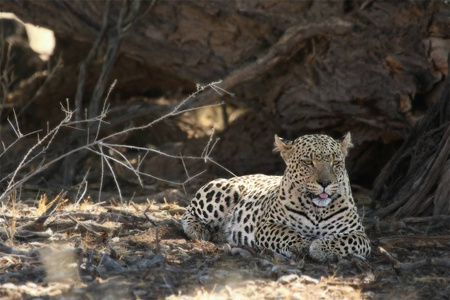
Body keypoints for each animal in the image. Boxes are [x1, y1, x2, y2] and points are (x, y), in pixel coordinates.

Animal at [181, 132, 370, 262]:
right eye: (308, 162)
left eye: (336, 163)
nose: (325, 182)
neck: (317, 210)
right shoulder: (267, 226)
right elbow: (287, 233)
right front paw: (304, 244)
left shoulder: (360, 235)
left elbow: (345, 240)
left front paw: (319, 247)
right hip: (226, 192)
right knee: (188, 211)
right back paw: (198, 229)